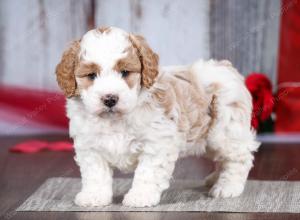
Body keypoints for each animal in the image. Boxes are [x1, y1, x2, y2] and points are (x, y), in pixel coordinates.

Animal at [55, 26, 258, 207]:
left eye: (125, 72)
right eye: (91, 75)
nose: (110, 98)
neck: (116, 119)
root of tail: (225, 67)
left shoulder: (156, 143)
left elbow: (147, 173)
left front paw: (140, 196)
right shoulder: (90, 146)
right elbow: (95, 174)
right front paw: (94, 196)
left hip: (225, 130)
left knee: (239, 158)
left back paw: (227, 187)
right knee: (222, 158)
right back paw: (215, 179)